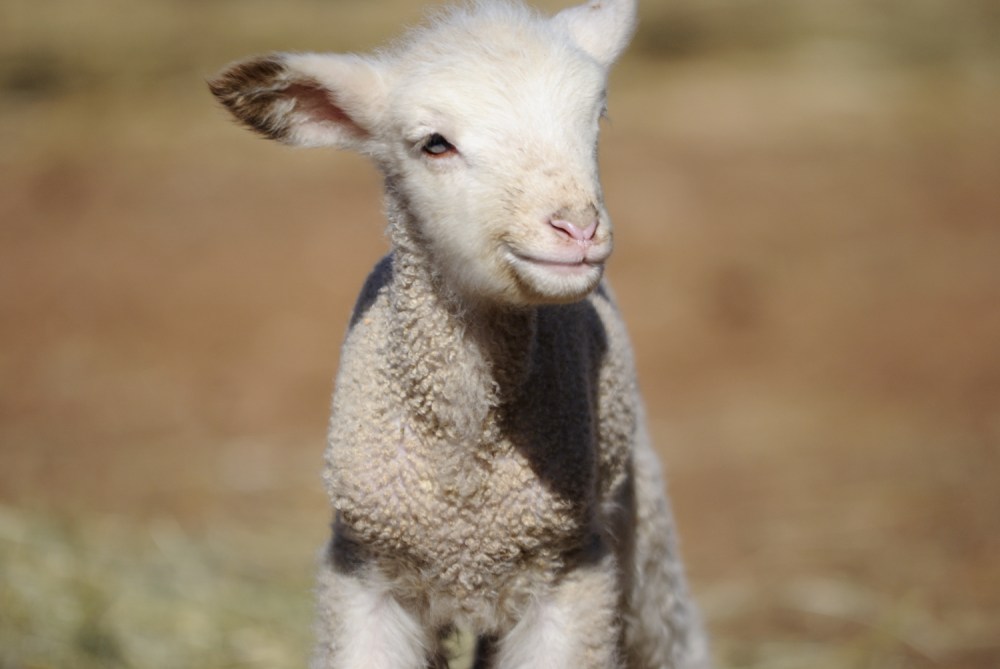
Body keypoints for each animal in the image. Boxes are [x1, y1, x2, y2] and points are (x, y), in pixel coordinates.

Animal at [209, 0, 709, 667]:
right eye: (435, 144)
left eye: (596, 120)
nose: (577, 228)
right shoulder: (364, 572)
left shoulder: (569, 577)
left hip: (634, 516)